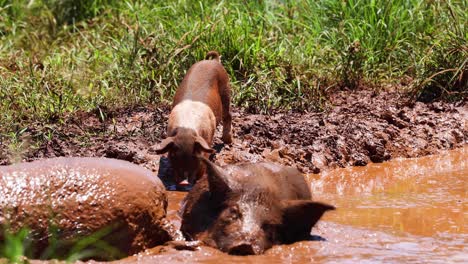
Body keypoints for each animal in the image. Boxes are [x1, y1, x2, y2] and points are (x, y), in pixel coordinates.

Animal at [155, 50, 232, 188]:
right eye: (173, 155)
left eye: (194, 155)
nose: (184, 182)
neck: (186, 129)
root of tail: (213, 61)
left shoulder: (206, 141)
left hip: (226, 89)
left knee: (228, 116)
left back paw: (228, 141)